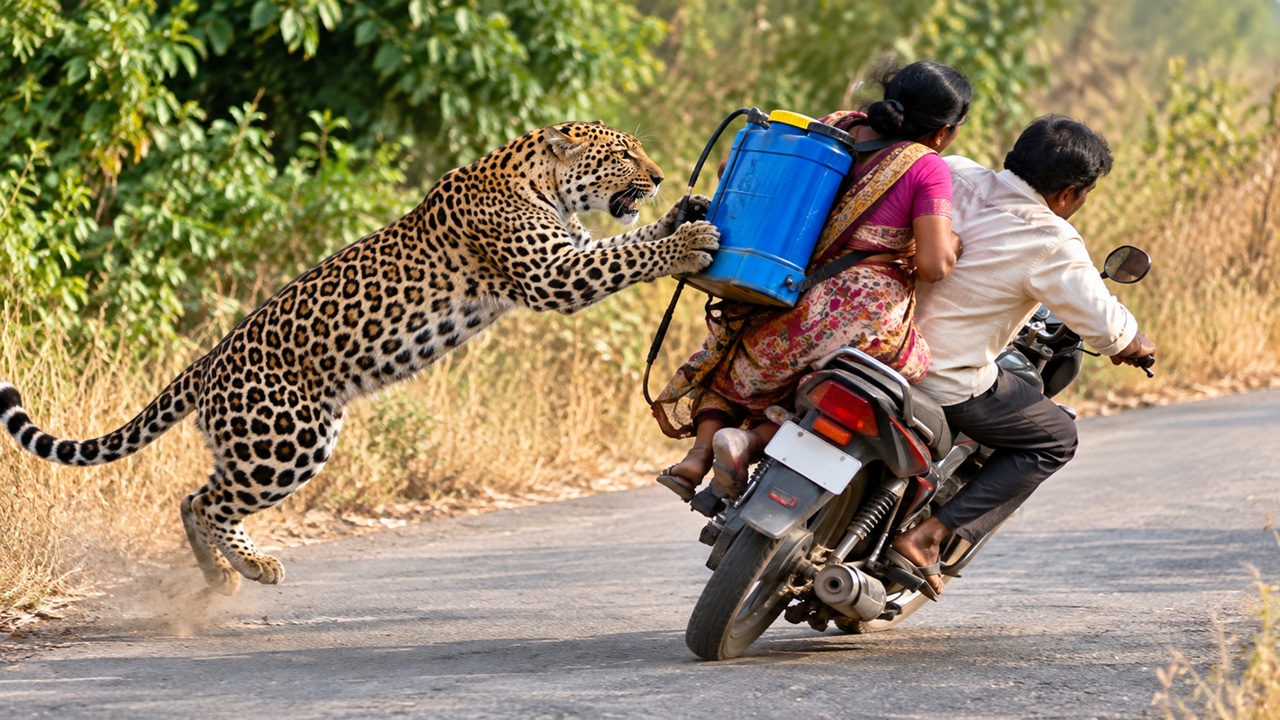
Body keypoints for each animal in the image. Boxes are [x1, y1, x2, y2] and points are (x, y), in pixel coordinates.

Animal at [0, 121, 719, 595]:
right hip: (285, 440)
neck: (541, 180)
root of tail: (208, 361)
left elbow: (625, 242)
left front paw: (689, 210)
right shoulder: (553, 273)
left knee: (191, 497)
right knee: (209, 503)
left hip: (267, 442)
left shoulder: (571, 252)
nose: (659, 177)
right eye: (623, 154)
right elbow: (628, 253)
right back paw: (251, 567)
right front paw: (687, 243)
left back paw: (221, 575)